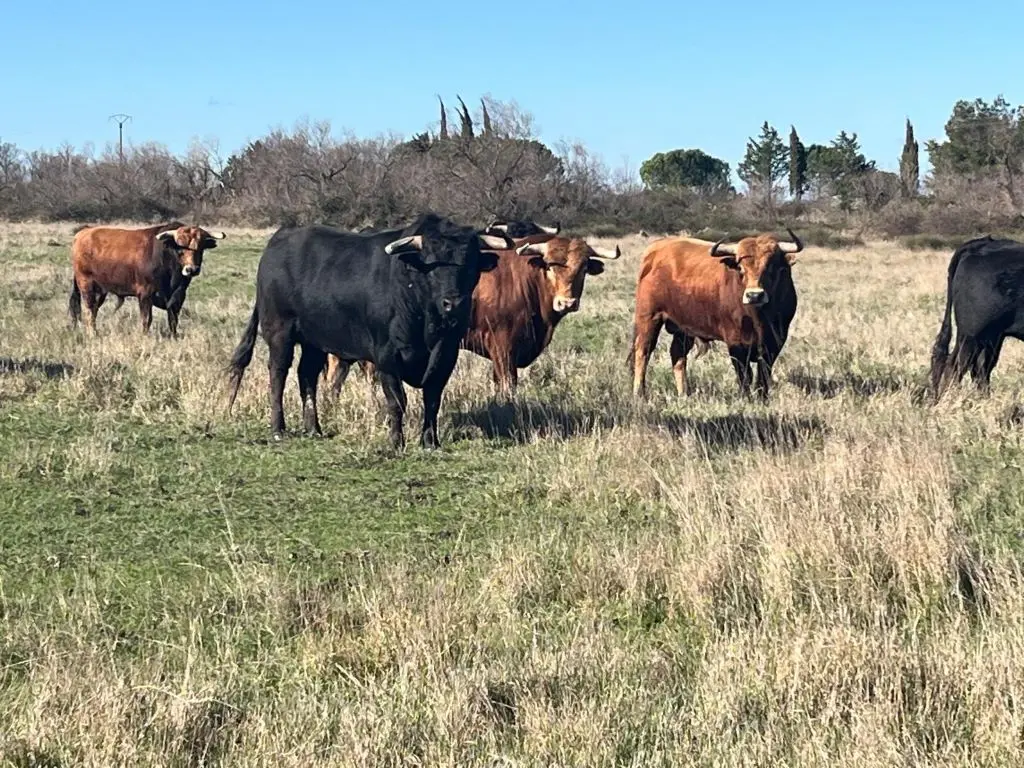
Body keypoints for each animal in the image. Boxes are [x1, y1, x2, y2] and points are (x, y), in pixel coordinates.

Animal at [69, 219, 226, 333]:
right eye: (180, 248)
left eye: (201, 249)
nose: (191, 269)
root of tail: (83, 232)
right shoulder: (145, 294)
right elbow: (146, 320)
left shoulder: (178, 296)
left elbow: (173, 320)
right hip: (86, 286)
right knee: (89, 312)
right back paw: (92, 334)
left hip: (101, 290)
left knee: (94, 310)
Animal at [224, 214, 512, 448]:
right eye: (431, 265)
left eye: (471, 264)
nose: (454, 303)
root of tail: (279, 240)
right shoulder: (387, 356)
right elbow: (396, 400)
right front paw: (396, 442)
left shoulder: (446, 355)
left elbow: (432, 398)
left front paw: (430, 441)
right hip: (279, 332)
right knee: (278, 373)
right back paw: (278, 428)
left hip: (314, 340)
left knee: (307, 375)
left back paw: (313, 428)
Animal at [626, 228, 802, 399]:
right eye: (741, 268)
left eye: (771, 267)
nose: (754, 295)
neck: (758, 318)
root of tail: (655, 248)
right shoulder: (735, 342)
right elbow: (745, 376)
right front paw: (747, 399)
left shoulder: (774, 343)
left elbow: (763, 377)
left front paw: (762, 400)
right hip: (648, 317)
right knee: (643, 352)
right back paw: (639, 393)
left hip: (683, 327)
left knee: (678, 356)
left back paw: (684, 394)